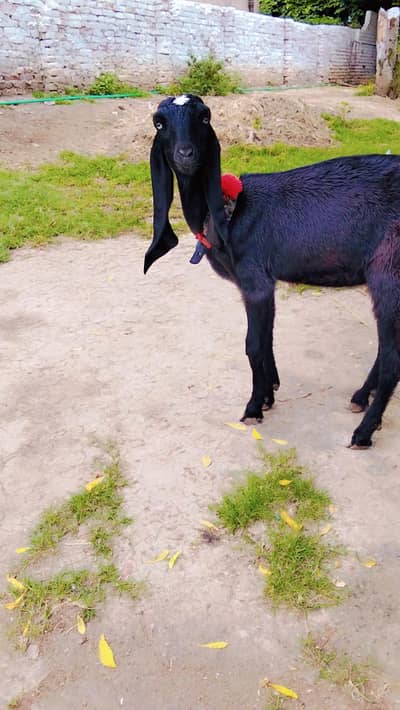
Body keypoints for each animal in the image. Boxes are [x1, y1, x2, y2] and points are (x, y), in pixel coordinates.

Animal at [144, 94, 400, 448]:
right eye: (159, 123)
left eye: (205, 118)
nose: (185, 154)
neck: (230, 211)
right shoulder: (261, 284)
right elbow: (266, 340)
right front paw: (269, 393)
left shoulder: (255, 280)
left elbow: (252, 344)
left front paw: (253, 407)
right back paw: (361, 397)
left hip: (389, 270)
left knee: (393, 360)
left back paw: (363, 431)